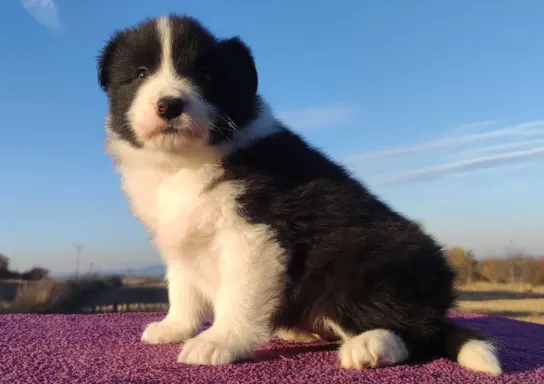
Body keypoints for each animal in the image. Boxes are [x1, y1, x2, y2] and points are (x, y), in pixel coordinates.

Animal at [96, 14, 502, 376]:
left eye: (206, 76)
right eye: (140, 74)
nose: (169, 105)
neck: (185, 162)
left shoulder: (253, 234)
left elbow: (237, 295)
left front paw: (218, 342)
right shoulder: (181, 233)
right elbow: (183, 288)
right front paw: (173, 327)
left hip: (363, 266)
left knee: (417, 333)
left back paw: (369, 345)